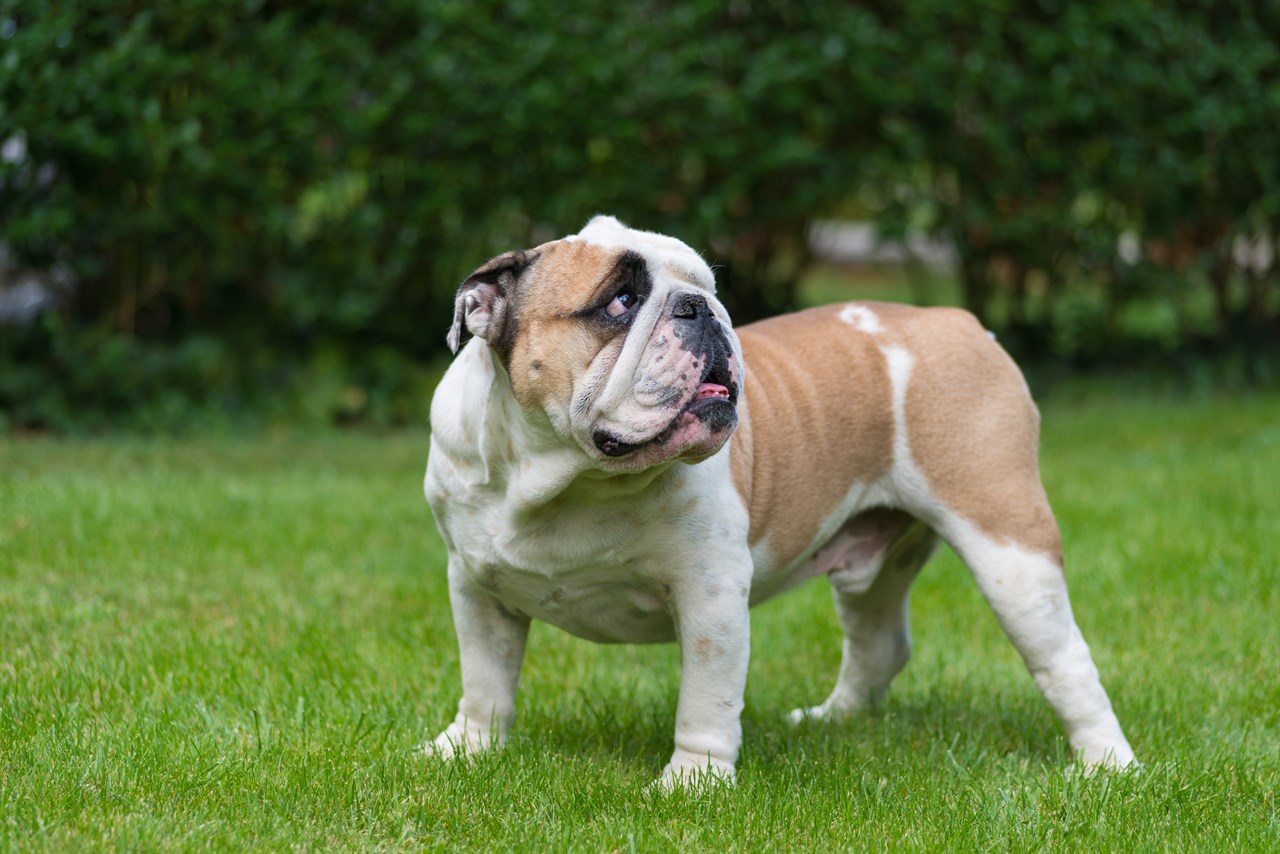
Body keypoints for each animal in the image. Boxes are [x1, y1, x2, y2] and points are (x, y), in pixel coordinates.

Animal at [424, 215, 1136, 788]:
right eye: (621, 300)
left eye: (706, 286)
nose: (701, 308)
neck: (564, 478)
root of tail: (955, 320)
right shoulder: (473, 584)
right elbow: (485, 677)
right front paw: (467, 749)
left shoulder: (710, 596)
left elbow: (705, 700)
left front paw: (693, 783)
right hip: (881, 562)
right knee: (879, 642)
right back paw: (830, 719)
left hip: (1009, 546)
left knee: (1064, 660)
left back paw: (1107, 765)